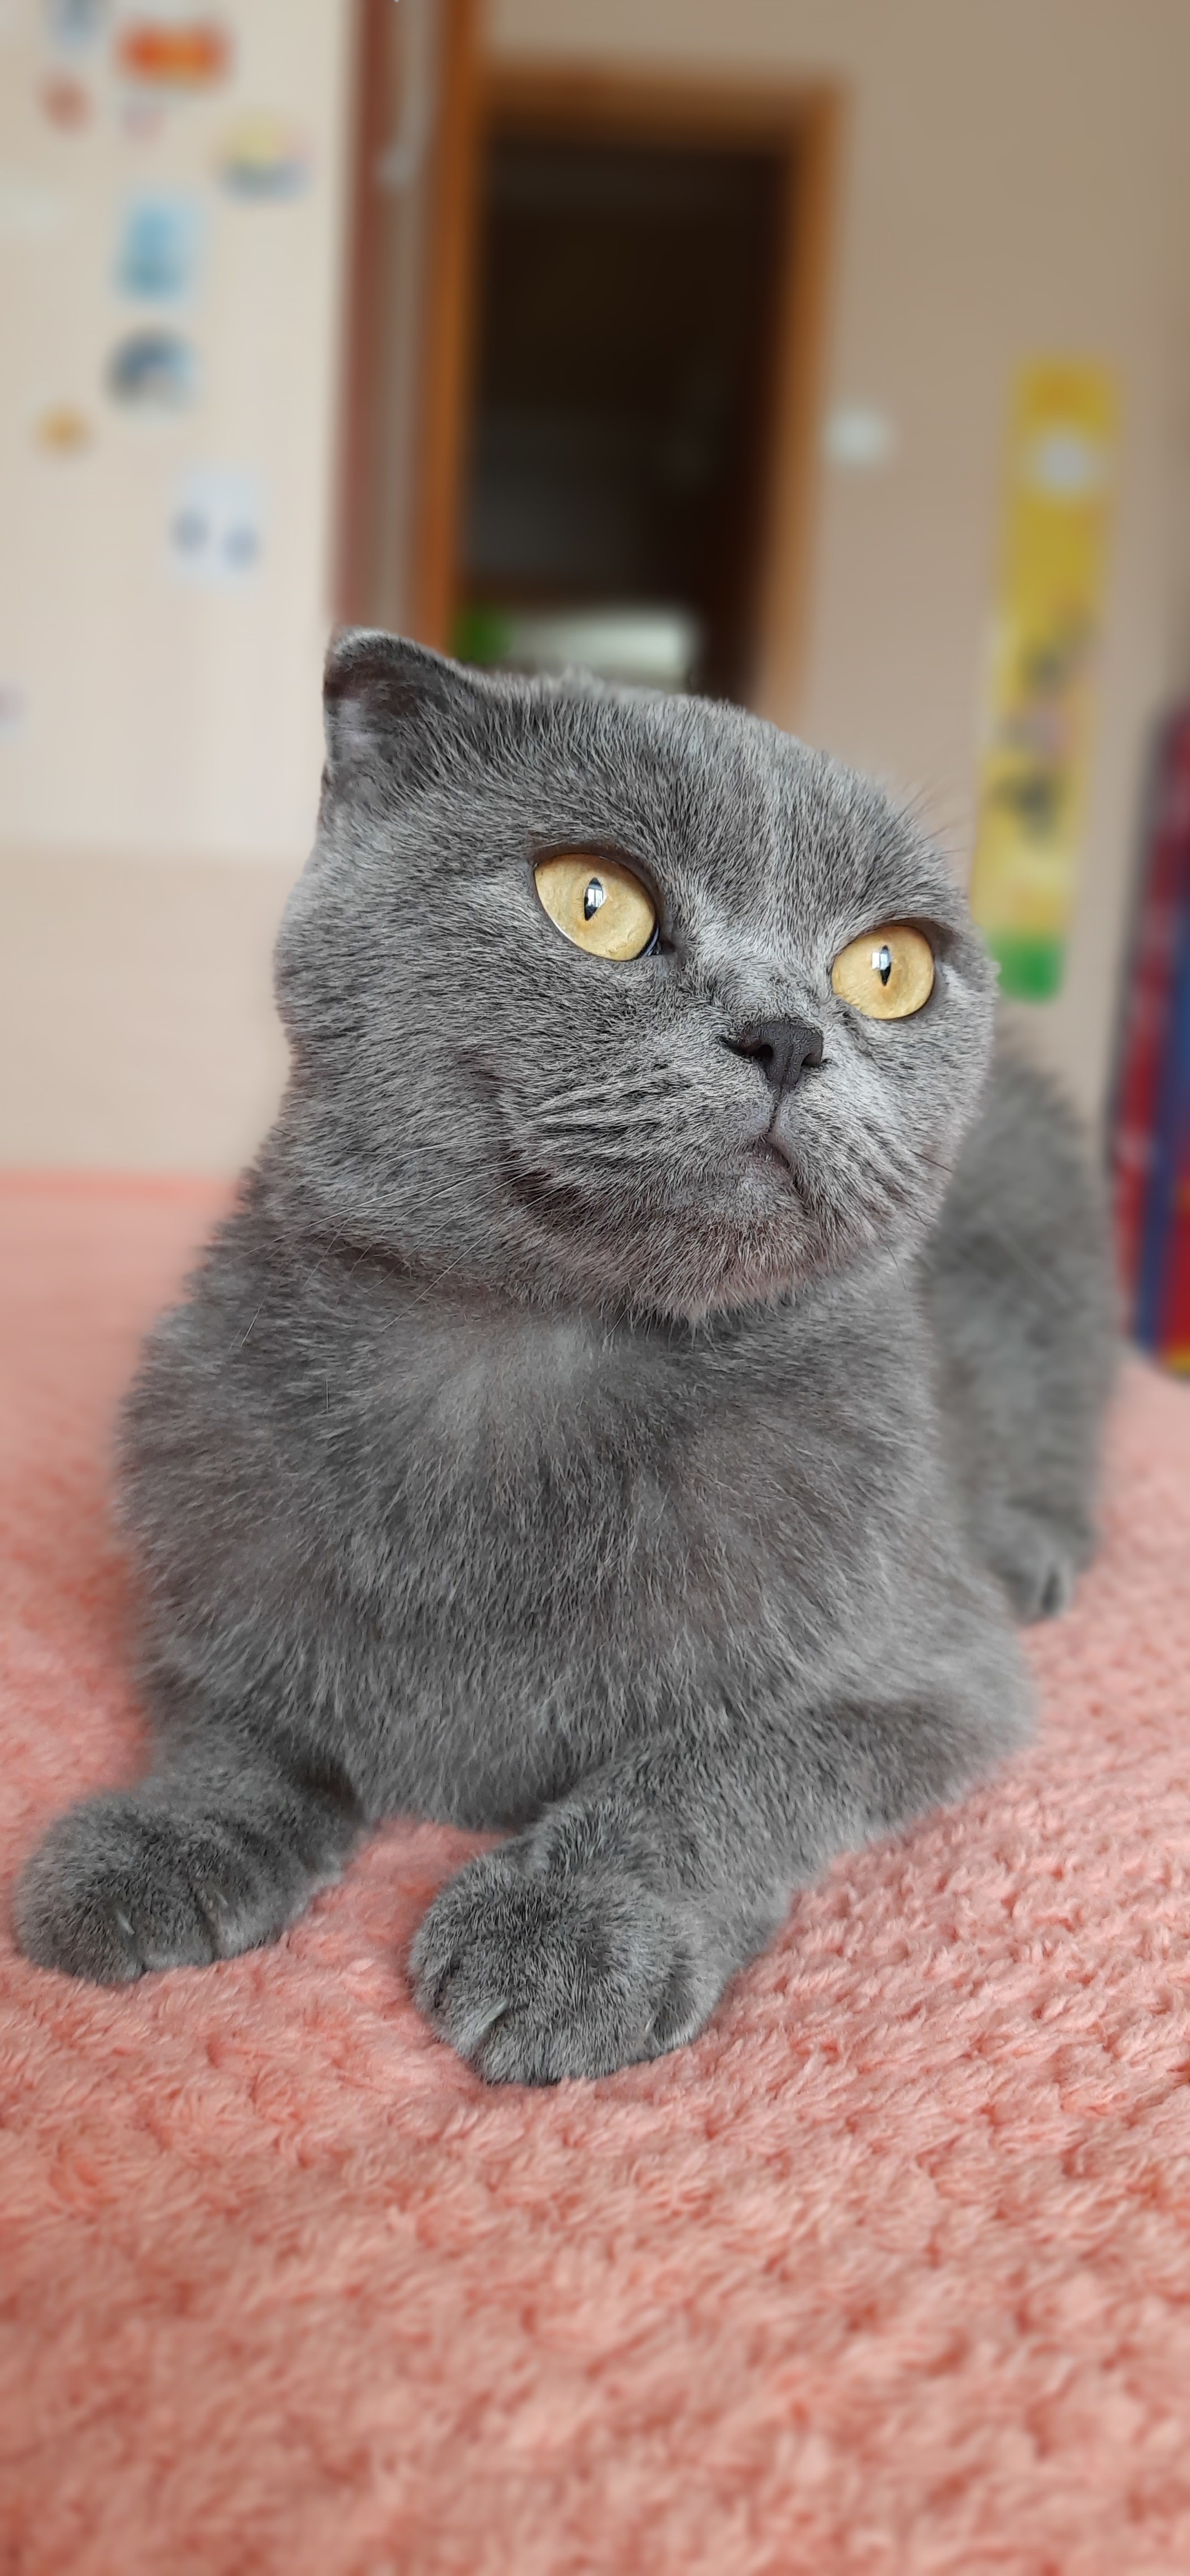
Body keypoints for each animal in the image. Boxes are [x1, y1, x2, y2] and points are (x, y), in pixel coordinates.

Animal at [16, 633, 1117, 2081]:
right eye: (593, 901)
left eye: (889, 968)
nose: (789, 1031)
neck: (520, 1373)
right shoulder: (197, 1551)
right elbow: (234, 1718)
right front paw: (160, 1839)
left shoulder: (930, 1673)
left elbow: (717, 1762)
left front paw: (570, 1926)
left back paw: (1033, 1544)